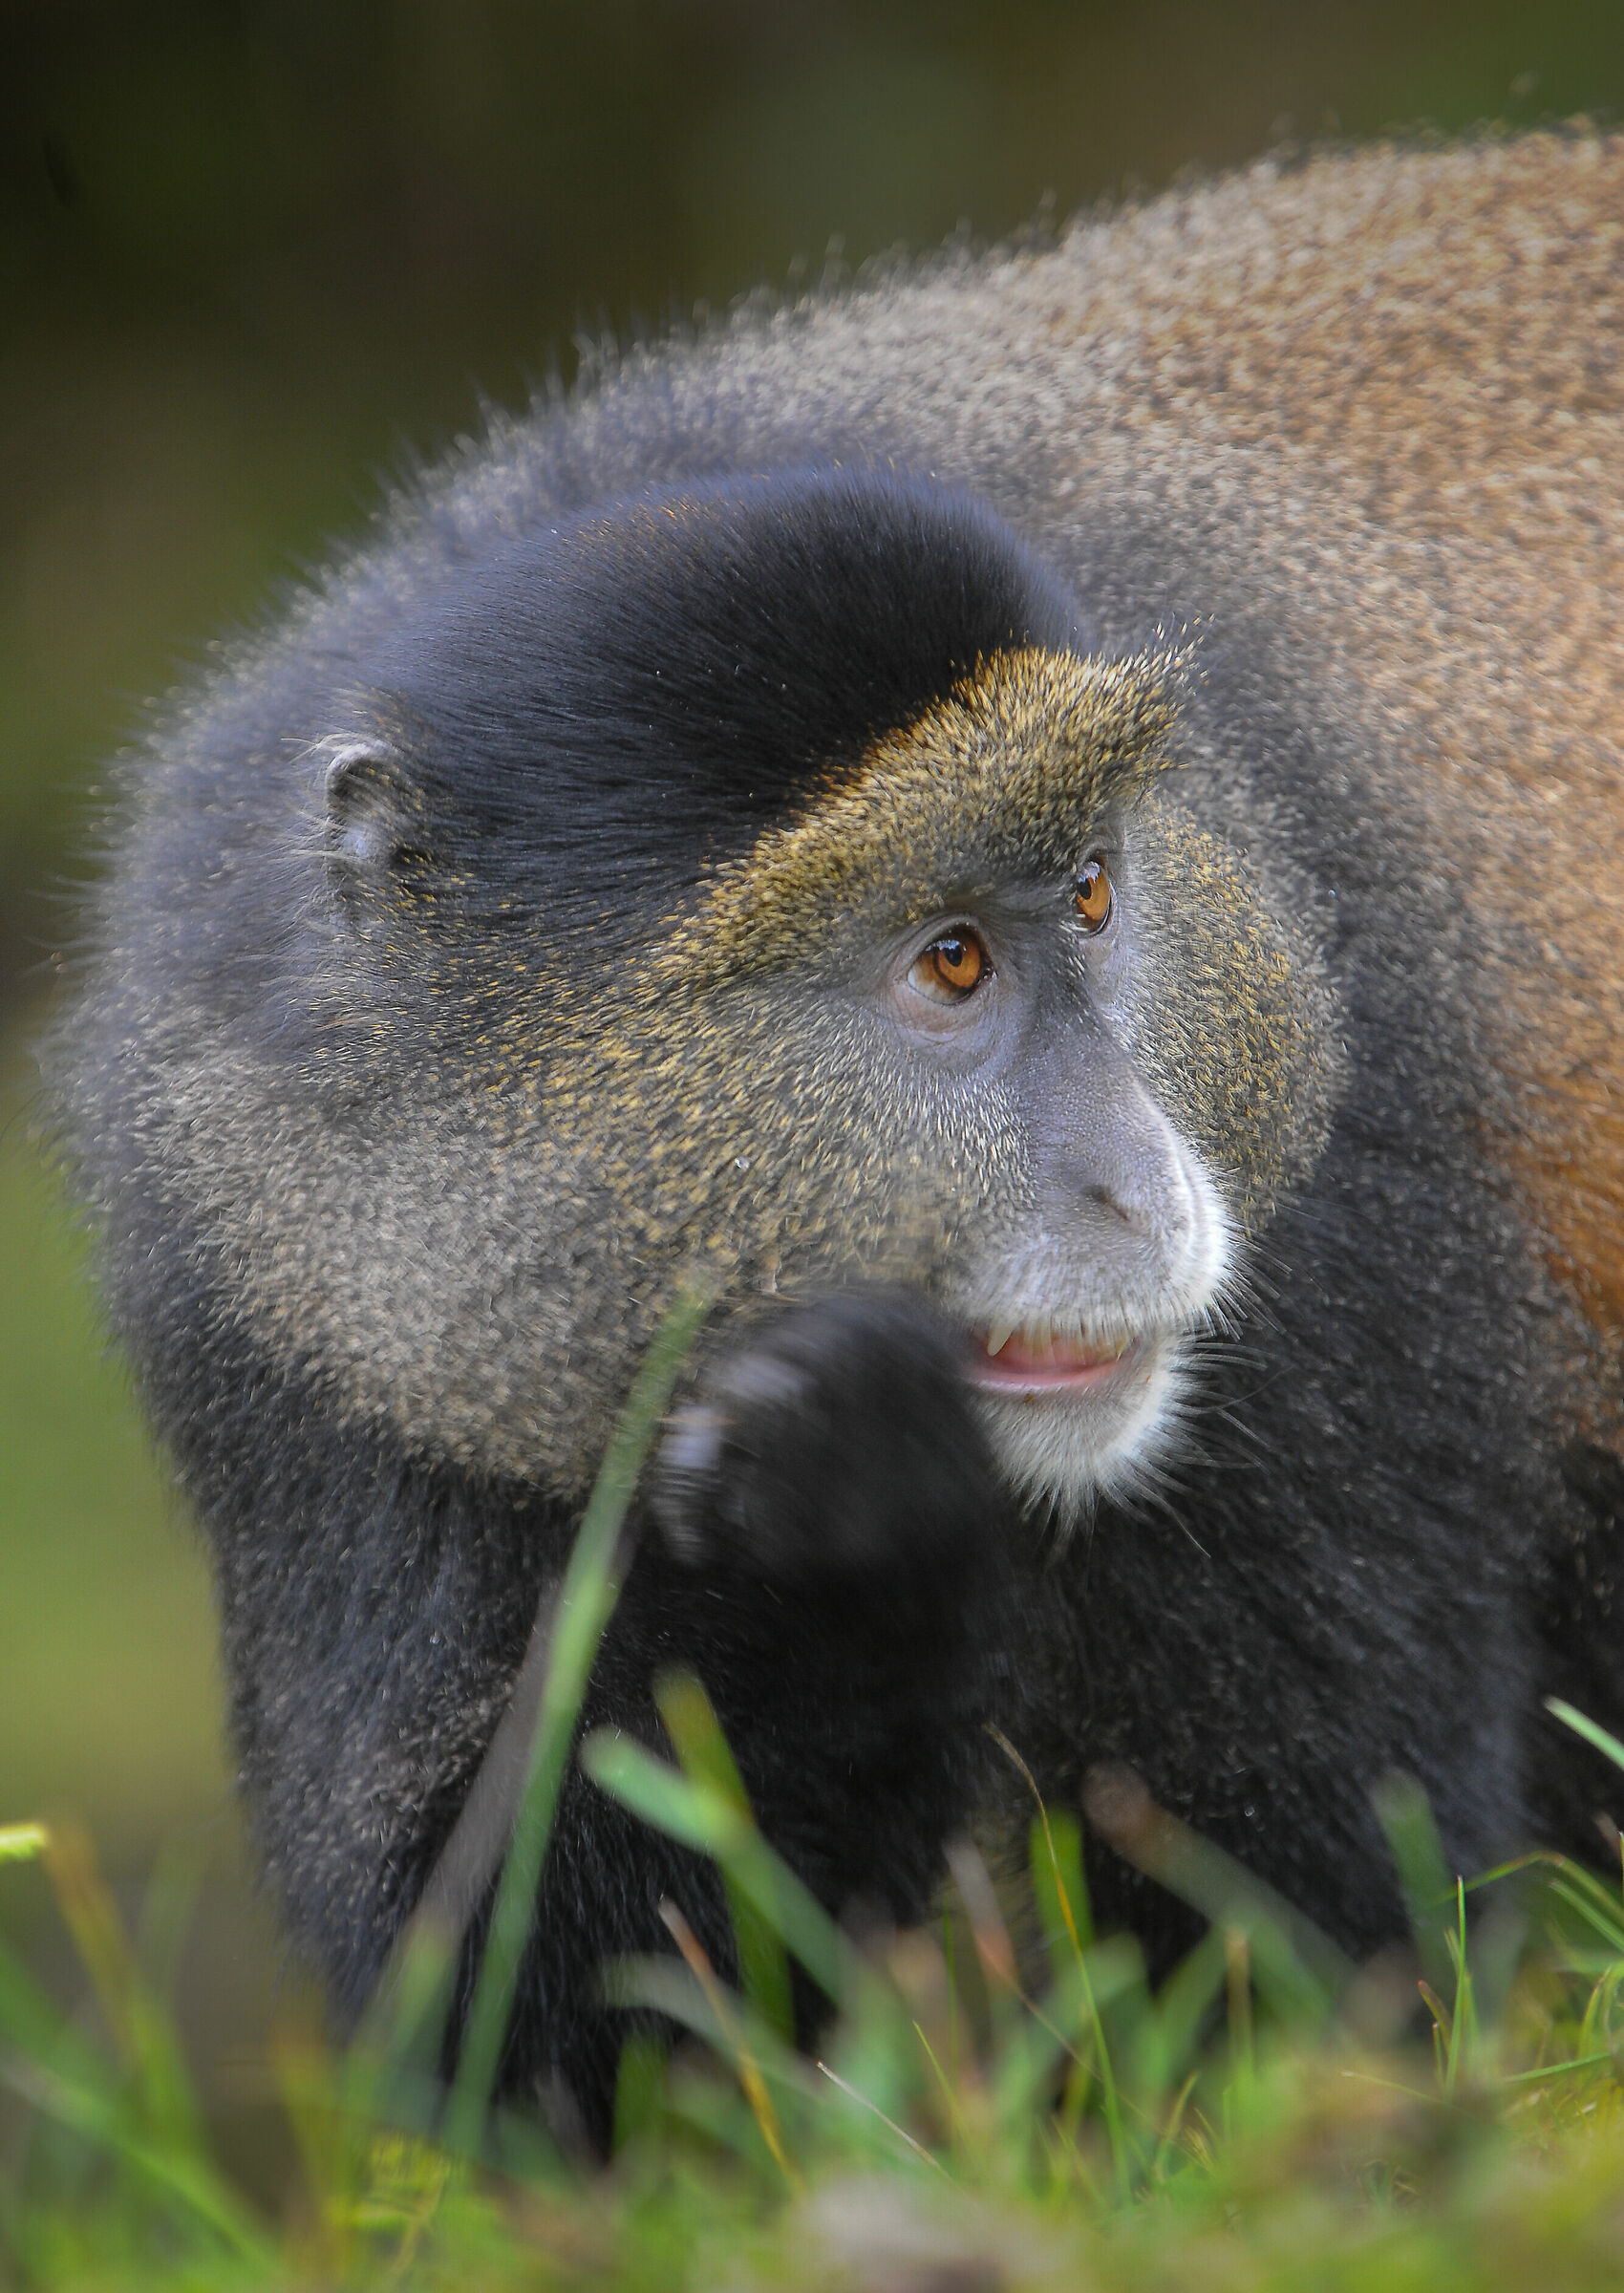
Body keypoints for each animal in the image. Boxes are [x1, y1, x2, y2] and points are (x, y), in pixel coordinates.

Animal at [46, 132, 1624, 2142]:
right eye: (945, 959)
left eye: (1093, 893)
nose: (1142, 1187)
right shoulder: (278, 1310)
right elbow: (554, 2060)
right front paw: (839, 1545)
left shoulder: (1355, 1211)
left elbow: (1317, 1956)